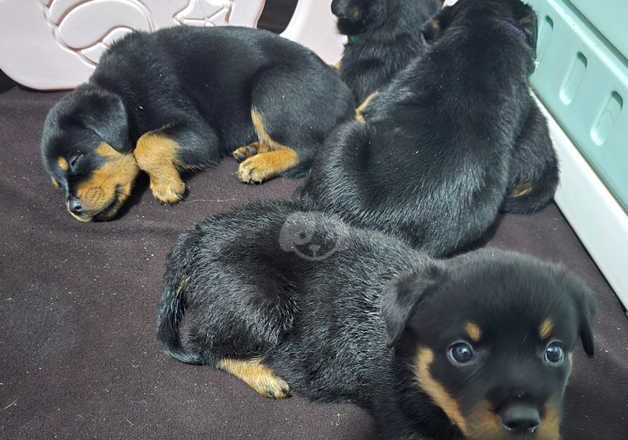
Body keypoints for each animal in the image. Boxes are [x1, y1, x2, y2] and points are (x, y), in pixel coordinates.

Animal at [41, 25, 356, 222]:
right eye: (56, 184)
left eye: (75, 159)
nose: (73, 208)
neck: (124, 96)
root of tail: (345, 95)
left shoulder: (199, 133)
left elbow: (146, 142)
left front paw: (166, 185)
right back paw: (252, 149)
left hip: (273, 87)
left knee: (306, 149)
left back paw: (258, 165)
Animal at [156, 200, 592, 440]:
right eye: (462, 353)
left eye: (555, 353)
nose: (525, 421)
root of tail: (200, 234)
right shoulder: (404, 420)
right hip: (259, 305)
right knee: (204, 344)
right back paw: (264, 375)